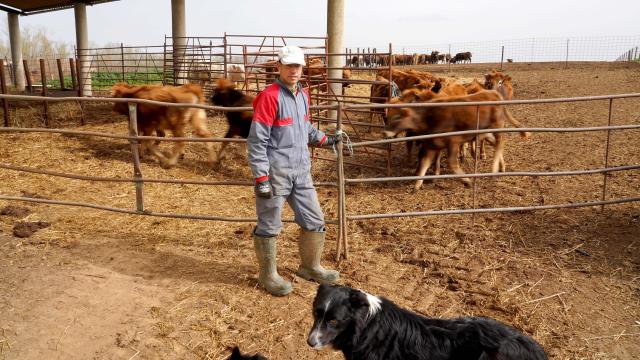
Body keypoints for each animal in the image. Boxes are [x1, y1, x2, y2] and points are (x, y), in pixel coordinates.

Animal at [384, 89, 524, 188]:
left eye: (396, 117)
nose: (385, 133)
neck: (428, 117)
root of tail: (494, 92)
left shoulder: (453, 141)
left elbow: (451, 163)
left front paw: (466, 181)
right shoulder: (431, 145)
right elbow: (424, 162)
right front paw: (417, 184)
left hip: (497, 126)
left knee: (500, 143)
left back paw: (494, 168)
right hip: (486, 132)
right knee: (497, 144)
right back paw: (501, 167)